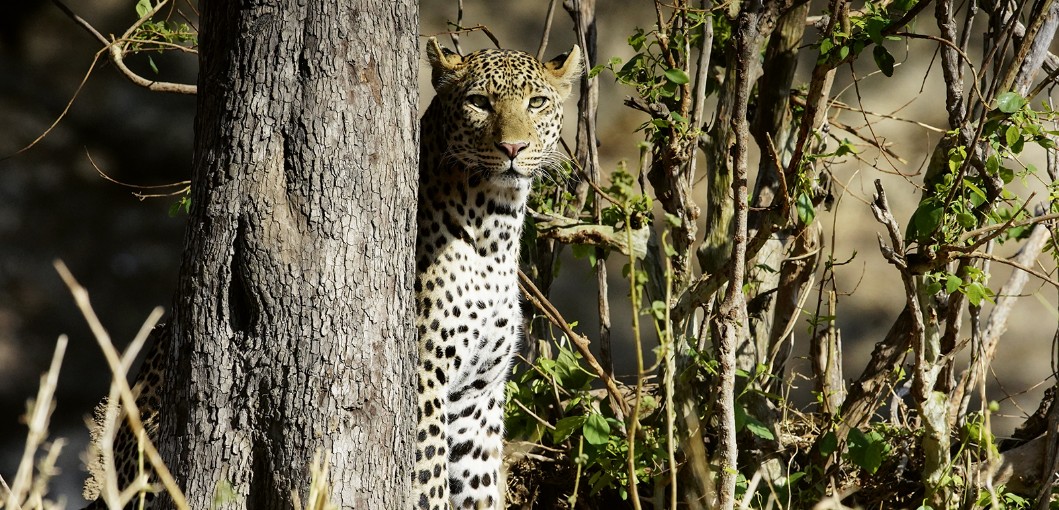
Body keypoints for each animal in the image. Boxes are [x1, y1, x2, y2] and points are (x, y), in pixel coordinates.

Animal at [410, 37, 580, 507]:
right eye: (479, 103)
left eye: (536, 102)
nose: (513, 149)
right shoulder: (425, 380)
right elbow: (428, 480)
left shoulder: (476, 396)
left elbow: (478, 484)